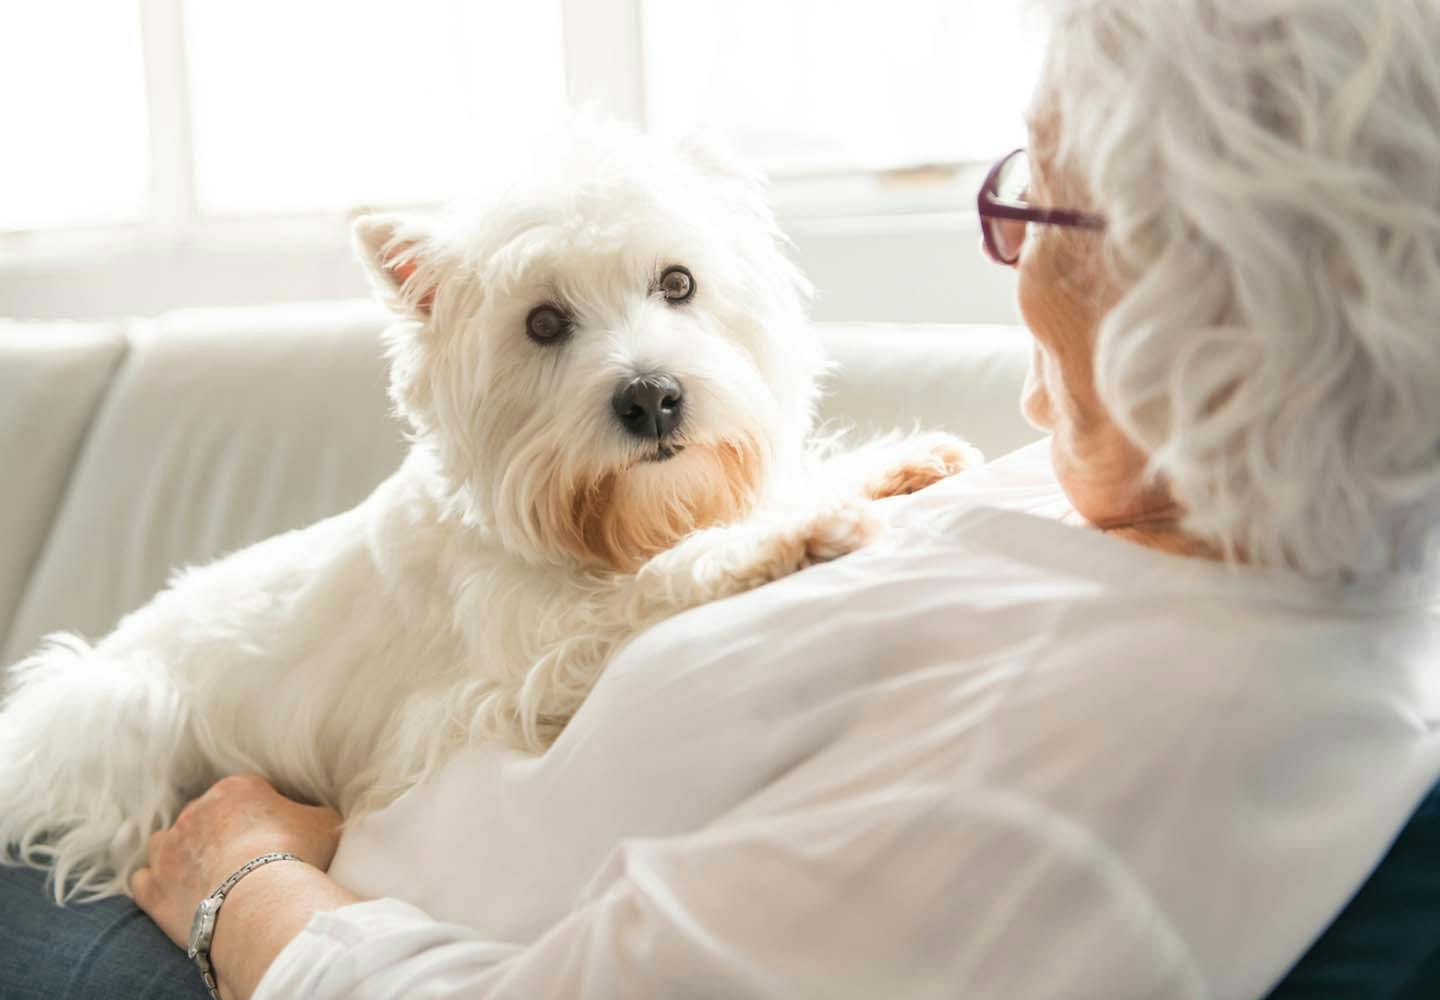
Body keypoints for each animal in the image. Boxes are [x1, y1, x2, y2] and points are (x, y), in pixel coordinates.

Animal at [0, 117, 979, 899]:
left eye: (678, 283)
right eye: (542, 324)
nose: (653, 398)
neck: (594, 527)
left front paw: (891, 465)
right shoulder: (510, 675)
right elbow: (654, 584)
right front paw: (791, 532)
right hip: (115, 714)